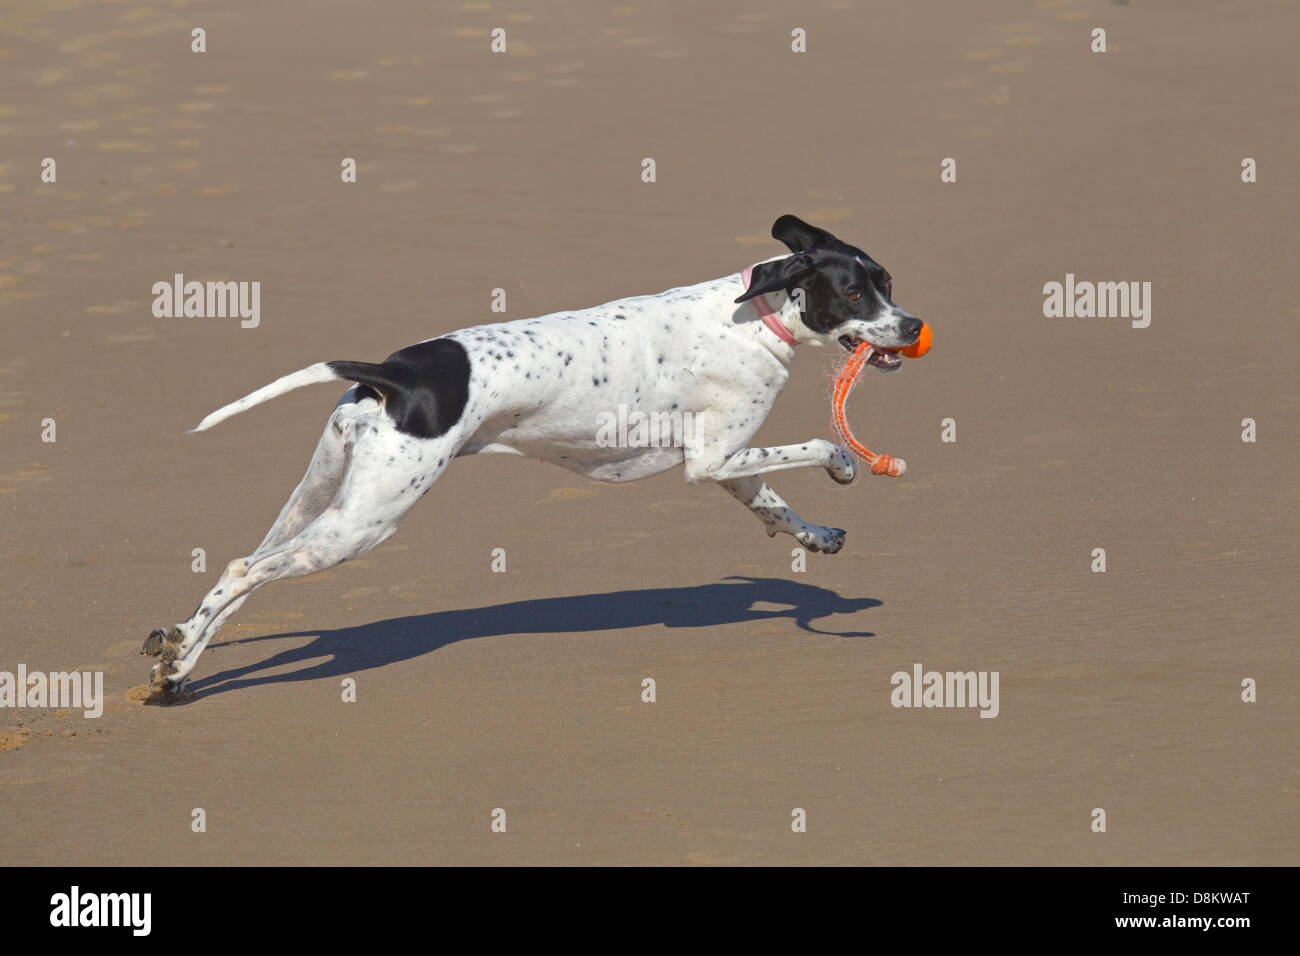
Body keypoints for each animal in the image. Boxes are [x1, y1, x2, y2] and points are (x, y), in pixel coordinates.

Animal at [142, 214, 925, 697]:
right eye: (853, 292)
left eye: (888, 281)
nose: (914, 324)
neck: (754, 315)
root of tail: (396, 371)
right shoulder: (711, 462)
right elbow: (820, 444)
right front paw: (844, 466)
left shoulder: (728, 465)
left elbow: (777, 507)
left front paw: (817, 535)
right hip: (362, 524)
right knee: (245, 570)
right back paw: (180, 661)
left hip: (316, 503)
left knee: (240, 575)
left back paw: (177, 661)